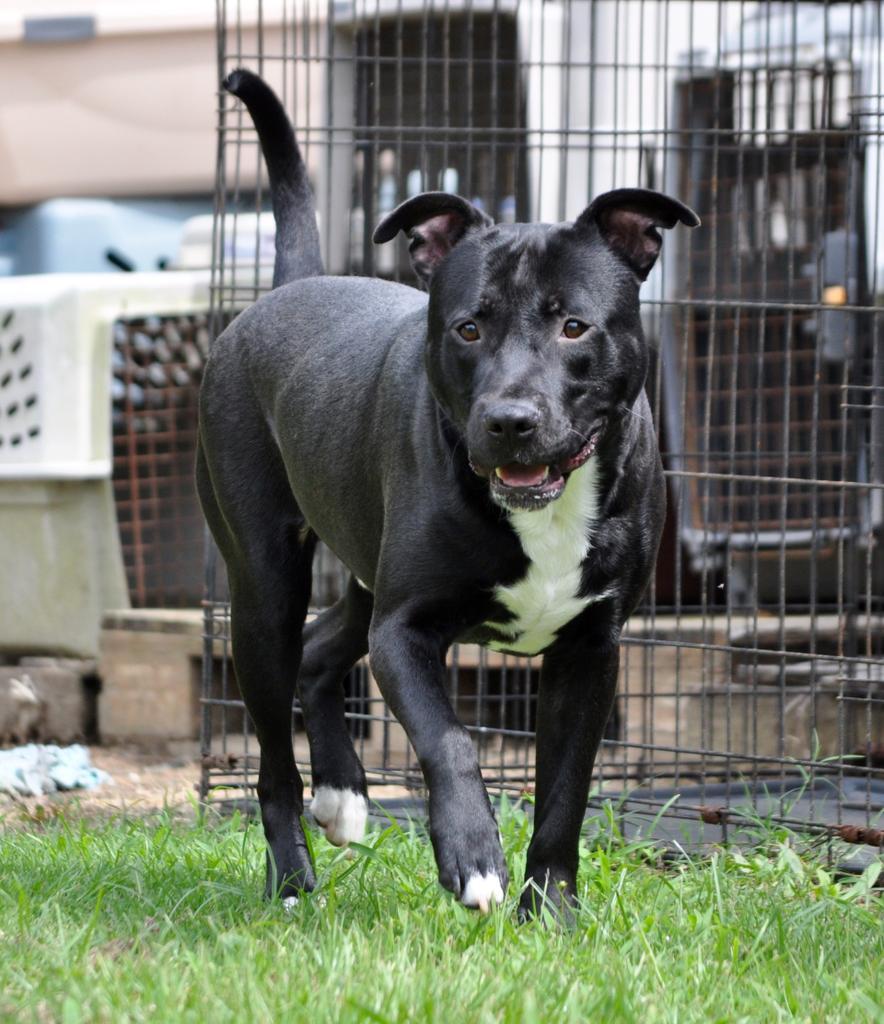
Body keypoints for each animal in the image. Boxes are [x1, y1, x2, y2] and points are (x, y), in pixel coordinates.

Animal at [198, 72, 696, 917]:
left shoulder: (589, 654)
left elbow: (565, 794)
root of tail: (292, 286)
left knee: (322, 651)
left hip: (364, 571)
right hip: (264, 589)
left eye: (573, 326)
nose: (510, 420)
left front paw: (550, 912)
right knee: (272, 762)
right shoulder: (406, 632)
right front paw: (473, 859)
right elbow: (451, 741)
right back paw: (293, 880)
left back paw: (343, 795)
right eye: (468, 328)